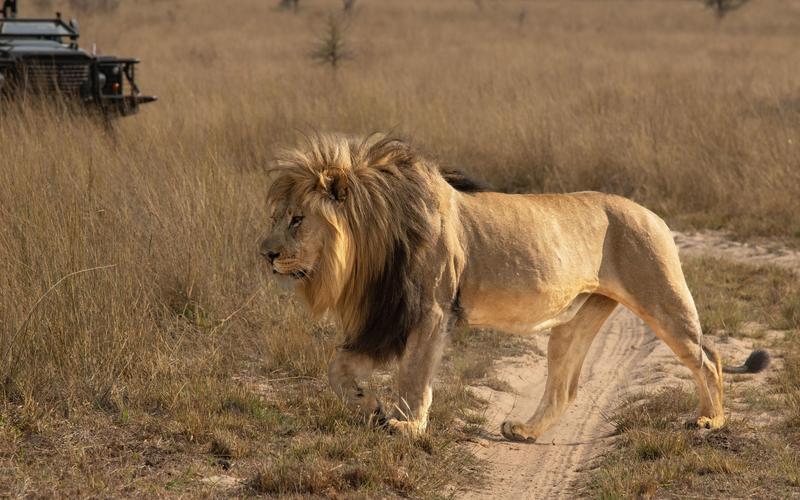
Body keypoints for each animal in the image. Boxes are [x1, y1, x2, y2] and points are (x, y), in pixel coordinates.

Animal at [259, 133, 769, 441]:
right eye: (278, 216)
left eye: (298, 219)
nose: (265, 253)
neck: (370, 246)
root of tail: (654, 214)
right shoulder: (386, 319)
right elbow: (337, 369)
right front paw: (371, 408)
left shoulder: (430, 312)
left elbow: (413, 377)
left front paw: (406, 425)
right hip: (576, 320)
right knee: (564, 389)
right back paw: (524, 431)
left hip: (661, 296)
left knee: (708, 357)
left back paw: (711, 419)